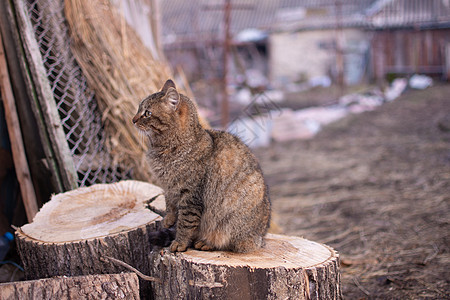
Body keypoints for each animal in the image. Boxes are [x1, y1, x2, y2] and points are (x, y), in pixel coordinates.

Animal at [131, 79, 270, 253]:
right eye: (138, 109)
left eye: (147, 113)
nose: (133, 119)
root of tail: (261, 237)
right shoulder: (169, 187)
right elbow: (169, 204)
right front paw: (169, 219)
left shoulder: (191, 196)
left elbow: (185, 223)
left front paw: (179, 243)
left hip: (230, 224)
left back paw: (206, 242)